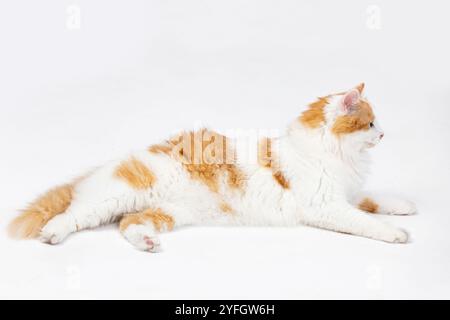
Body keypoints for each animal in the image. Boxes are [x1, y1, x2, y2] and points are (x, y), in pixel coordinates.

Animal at [7, 83, 414, 252]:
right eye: (370, 123)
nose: (384, 134)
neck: (333, 152)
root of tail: (113, 162)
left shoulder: (347, 193)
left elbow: (373, 200)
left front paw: (404, 207)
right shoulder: (326, 205)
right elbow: (365, 220)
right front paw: (396, 233)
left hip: (167, 212)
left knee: (128, 225)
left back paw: (148, 244)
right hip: (113, 198)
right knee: (72, 214)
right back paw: (53, 235)